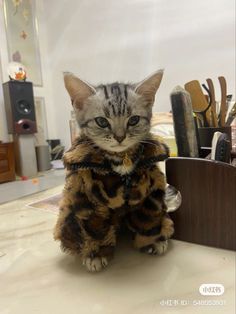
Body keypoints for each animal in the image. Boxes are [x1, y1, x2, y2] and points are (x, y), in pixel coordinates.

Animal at [54, 70, 175, 272]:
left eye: (133, 120)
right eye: (102, 121)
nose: (120, 137)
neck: (121, 160)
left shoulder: (150, 195)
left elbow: (148, 219)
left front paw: (151, 241)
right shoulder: (90, 202)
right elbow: (94, 229)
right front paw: (97, 254)